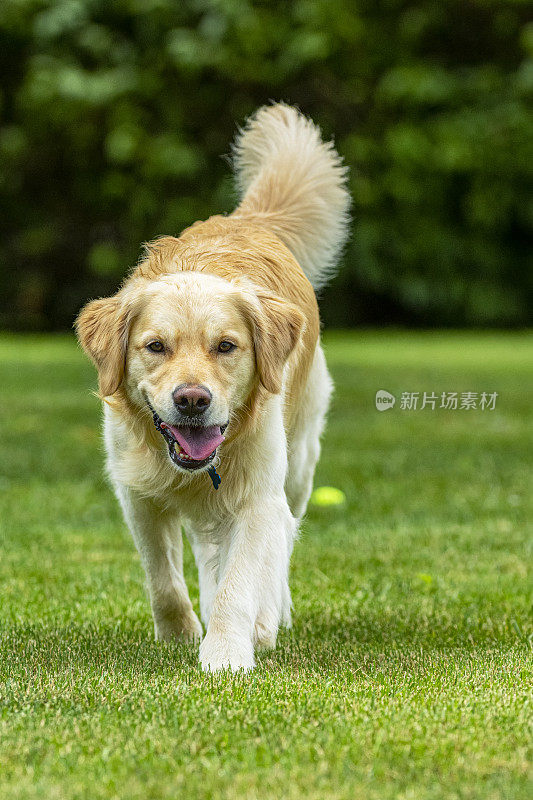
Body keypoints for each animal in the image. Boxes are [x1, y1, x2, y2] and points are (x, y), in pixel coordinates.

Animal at [76, 103, 350, 672]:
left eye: (226, 346)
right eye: (155, 346)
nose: (192, 400)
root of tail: (245, 220)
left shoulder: (257, 495)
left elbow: (241, 582)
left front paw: (227, 653)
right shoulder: (136, 493)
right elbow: (162, 577)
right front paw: (179, 635)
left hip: (298, 465)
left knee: (281, 542)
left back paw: (268, 620)